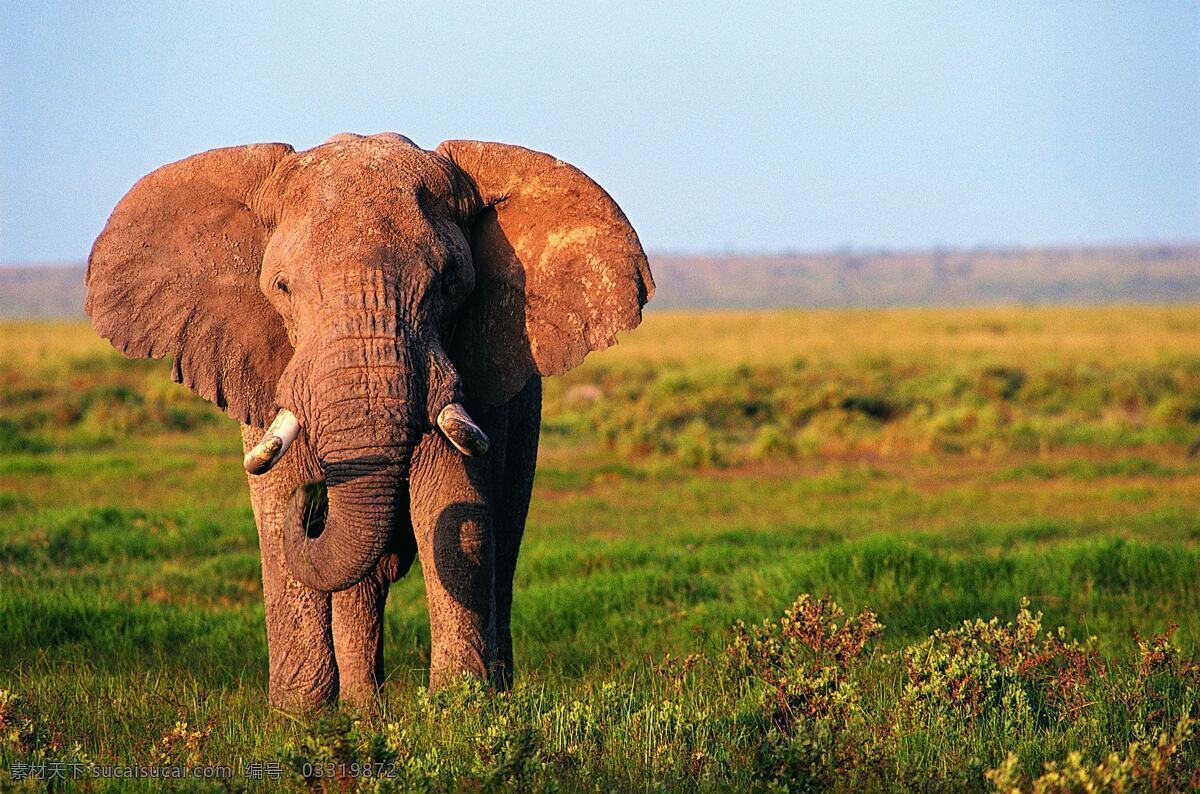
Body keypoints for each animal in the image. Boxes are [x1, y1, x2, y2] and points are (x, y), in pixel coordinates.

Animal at [85, 132, 654, 711]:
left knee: (502, 538)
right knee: (366, 579)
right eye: (282, 287)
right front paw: (302, 719)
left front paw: (458, 712)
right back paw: (363, 712)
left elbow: (452, 503)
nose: (313, 505)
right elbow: (279, 512)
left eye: (449, 284)